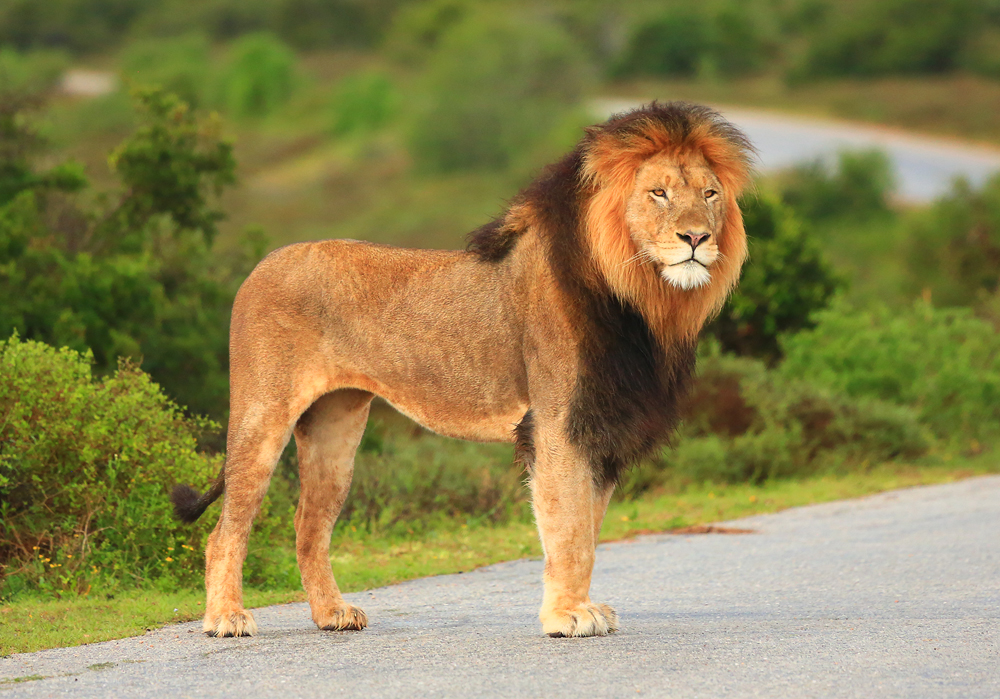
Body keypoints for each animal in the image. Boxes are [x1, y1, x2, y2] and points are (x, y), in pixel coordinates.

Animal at [170, 101, 752, 644]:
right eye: (658, 193)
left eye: (709, 195)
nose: (696, 239)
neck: (644, 302)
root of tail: (261, 265)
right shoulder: (559, 423)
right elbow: (568, 528)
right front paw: (567, 616)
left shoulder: (603, 425)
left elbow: (587, 531)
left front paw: (582, 607)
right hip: (262, 415)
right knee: (226, 530)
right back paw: (226, 618)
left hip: (335, 428)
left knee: (308, 526)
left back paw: (332, 614)